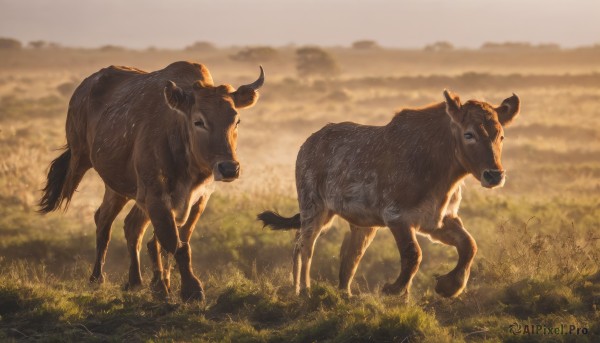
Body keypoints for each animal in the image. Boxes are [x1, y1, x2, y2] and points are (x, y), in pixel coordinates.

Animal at [258, 90, 520, 300]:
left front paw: (449, 286)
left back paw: (345, 294)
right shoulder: (397, 217)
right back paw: (302, 289)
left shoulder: (439, 221)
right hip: (314, 208)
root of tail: (308, 142)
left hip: (361, 225)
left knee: (350, 257)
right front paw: (394, 289)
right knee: (303, 245)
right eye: (469, 134)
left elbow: (469, 245)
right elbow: (413, 255)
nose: (494, 175)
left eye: (501, 136)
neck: (444, 173)